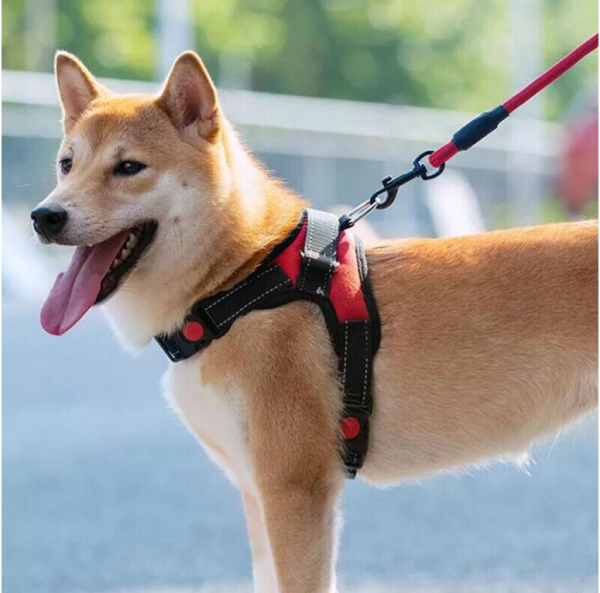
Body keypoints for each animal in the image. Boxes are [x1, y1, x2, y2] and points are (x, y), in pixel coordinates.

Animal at [31, 50, 598, 593]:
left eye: (129, 166)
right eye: (66, 165)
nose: (44, 217)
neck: (241, 281)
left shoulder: (295, 491)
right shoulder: (257, 493)